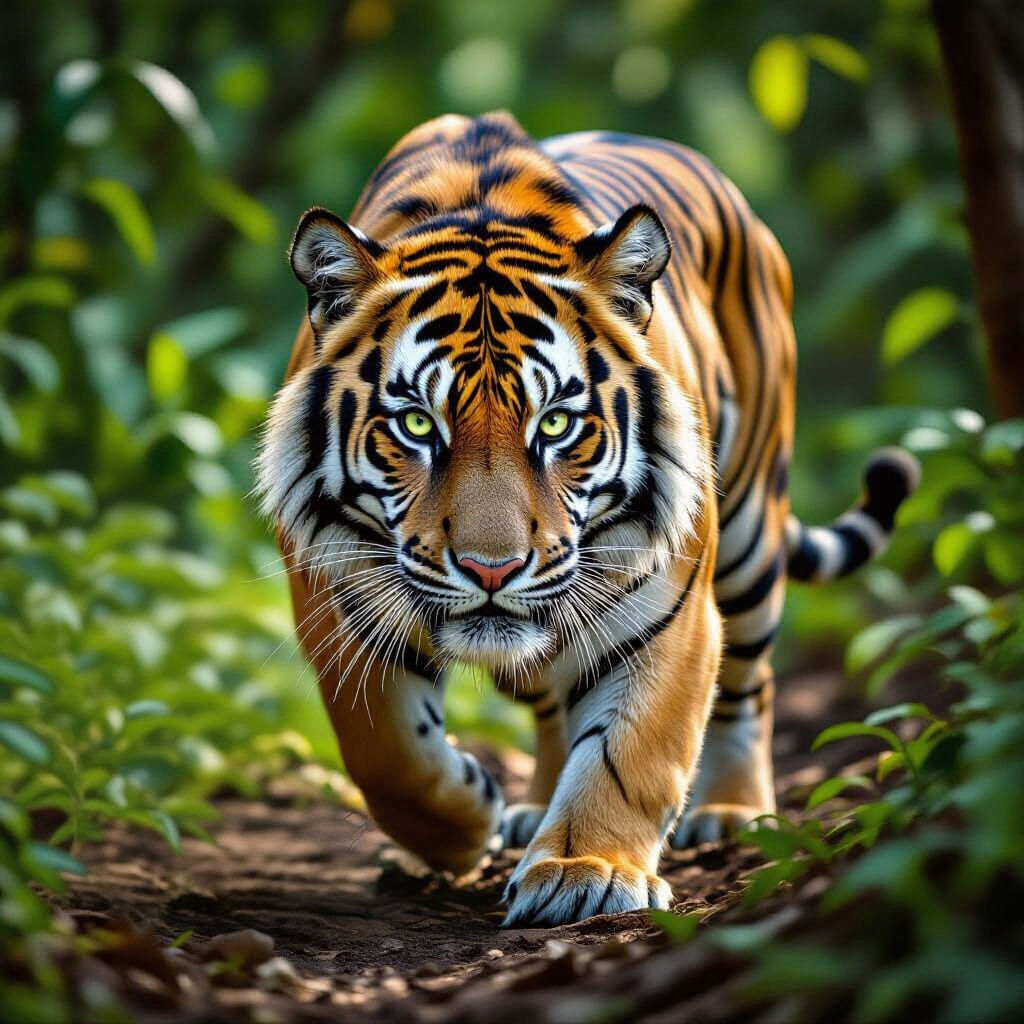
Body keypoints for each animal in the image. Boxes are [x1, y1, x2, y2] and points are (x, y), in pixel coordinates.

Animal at [257, 111, 919, 928]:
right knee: (546, 698)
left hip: (750, 538)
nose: (492, 570)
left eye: (557, 423)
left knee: (750, 683)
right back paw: (528, 806)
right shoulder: (336, 595)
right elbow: (385, 754)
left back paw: (732, 812)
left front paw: (583, 870)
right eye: (415, 424)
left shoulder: (668, 607)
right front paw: (466, 822)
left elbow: (627, 753)